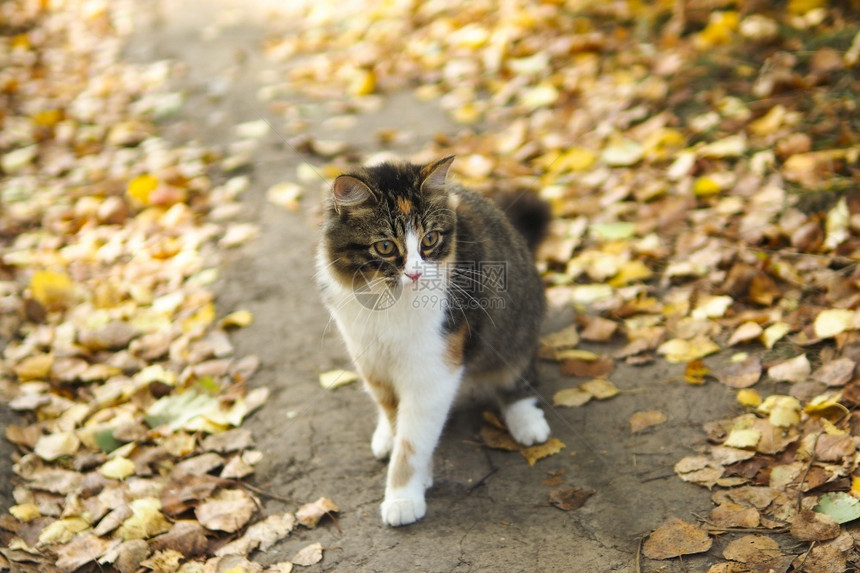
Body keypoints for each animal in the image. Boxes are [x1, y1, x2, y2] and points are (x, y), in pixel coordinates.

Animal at [316, 156, 552, 528]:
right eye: (385, 246)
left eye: (430, 238)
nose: (415, 273)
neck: (388, 300)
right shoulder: (372, 361)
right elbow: (399, 425)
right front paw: (414, 468)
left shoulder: (434, 369)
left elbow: (411, 445)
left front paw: (402, 498)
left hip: (515, 328)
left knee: (518, 377)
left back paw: (526, 421)